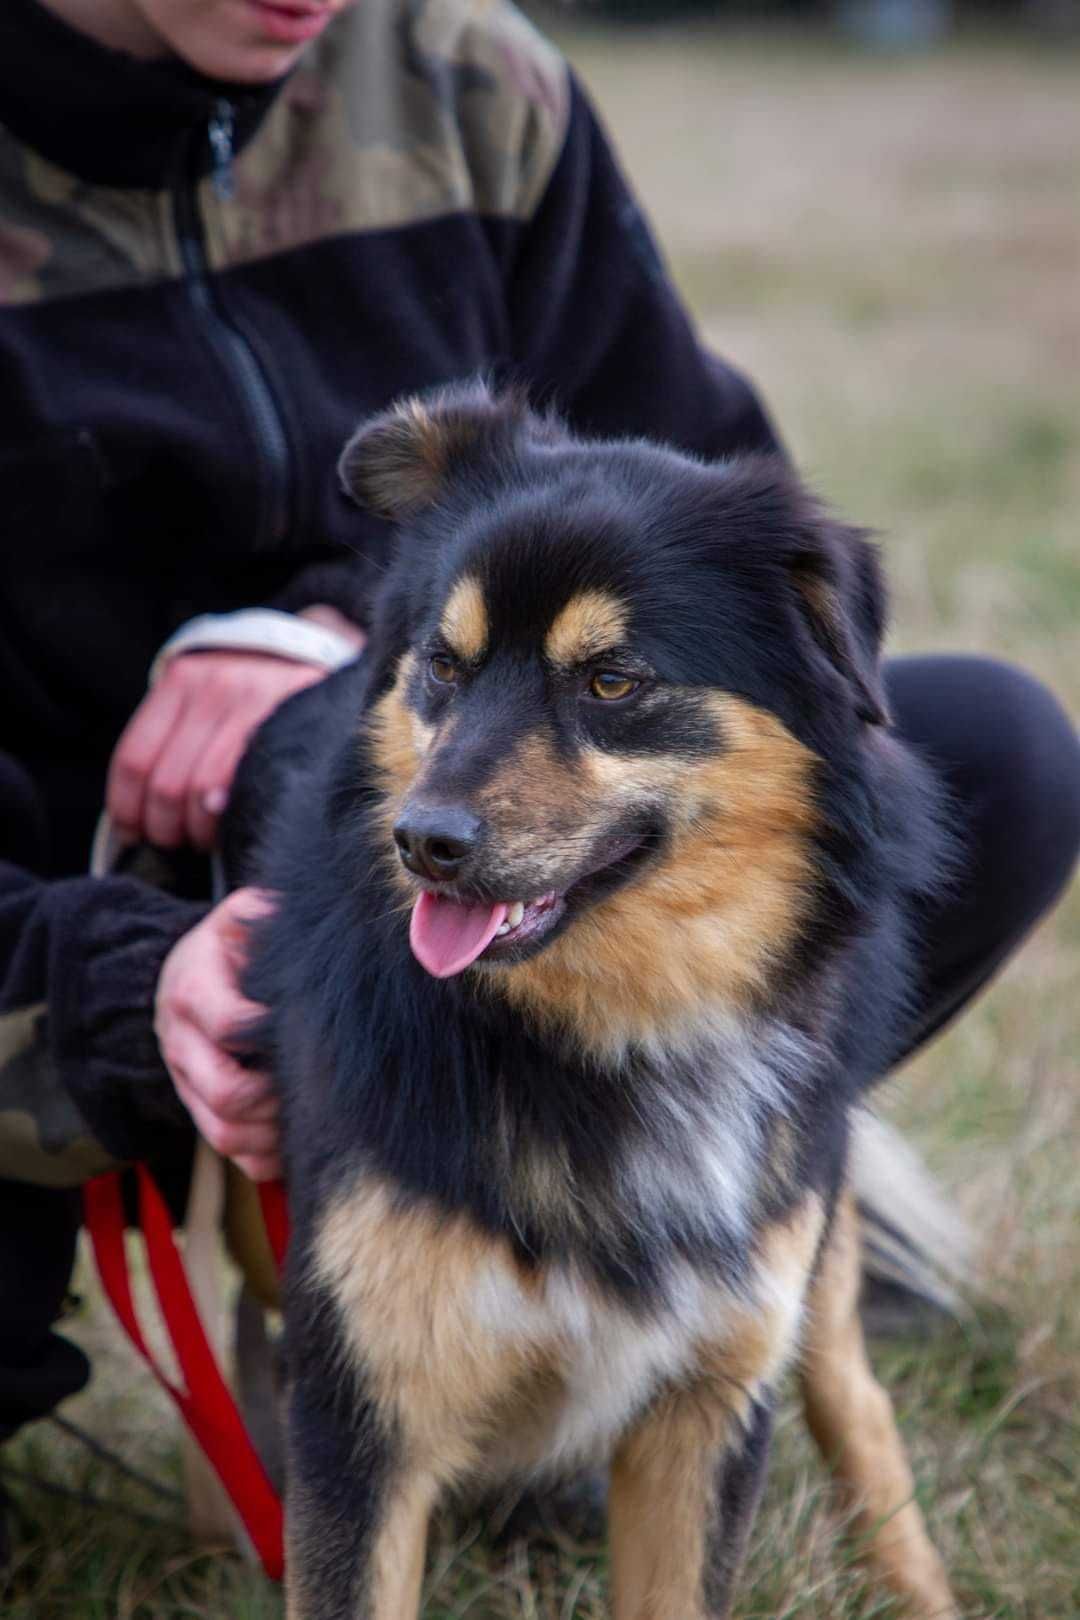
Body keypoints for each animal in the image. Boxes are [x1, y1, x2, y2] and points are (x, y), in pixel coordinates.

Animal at [233, 388, 958, 1620]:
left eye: (613, 680)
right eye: (444, 665)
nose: (422, 843)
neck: (608, 1035)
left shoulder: (711, 1397)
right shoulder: (360, 1409)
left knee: (856, 1401)